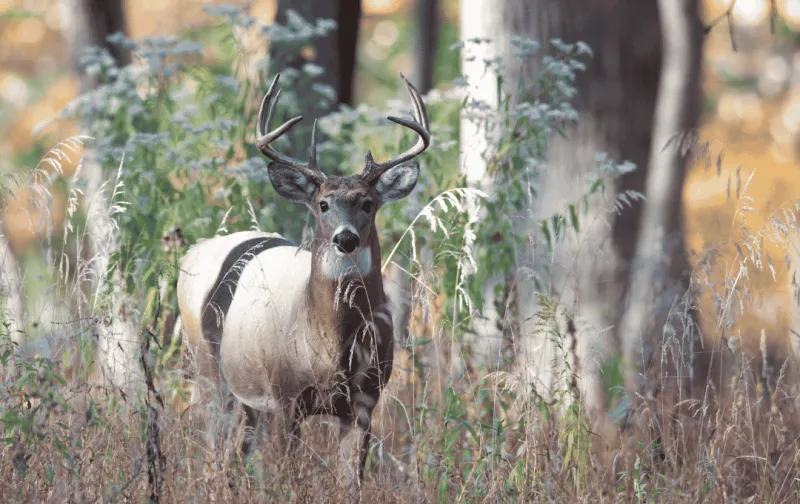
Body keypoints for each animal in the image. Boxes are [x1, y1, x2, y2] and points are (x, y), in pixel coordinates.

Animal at [176, 72, 430, 500]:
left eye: (367, 203)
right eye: (324, 204)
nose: (345, 238)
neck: (331, 349)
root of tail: (193, 251)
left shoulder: (365, 401)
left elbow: (351, 485)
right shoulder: (286, 397)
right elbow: (289, 478)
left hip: (247, 397)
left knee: (238, 453)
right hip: (209, 370)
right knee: (213, 451)